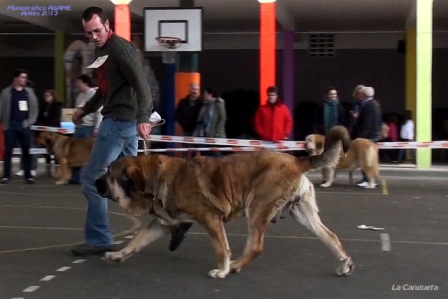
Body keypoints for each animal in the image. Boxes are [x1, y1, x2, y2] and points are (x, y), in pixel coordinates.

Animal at [96, 127, 356, 280]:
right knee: (330, 237)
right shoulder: (161, 223)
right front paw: (118, 255)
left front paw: (222, 268)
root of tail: (296, 161)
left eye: (109, 174)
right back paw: (344, 264)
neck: (157, 177)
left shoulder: (210, 218)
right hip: (302, 213)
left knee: (255, 246)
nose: (95, 181)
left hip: (257, 208)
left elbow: (221, 248)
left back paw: (233, 267)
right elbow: (136, 240)